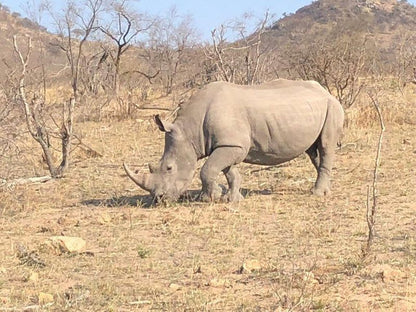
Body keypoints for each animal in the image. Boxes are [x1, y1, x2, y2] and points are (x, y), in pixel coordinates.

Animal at [123, 78, 344, 202]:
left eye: (169, 168)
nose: (159, 199)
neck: (189, 130)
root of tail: (326, 92)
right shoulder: (228, 144)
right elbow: (228, 171)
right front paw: (231, 198)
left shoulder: (232, 144)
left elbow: (207, 169)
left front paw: (211, 197)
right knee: (314, 151)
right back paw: (325, 189)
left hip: (332, 107)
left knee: (325, 146)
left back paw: (317, 194)